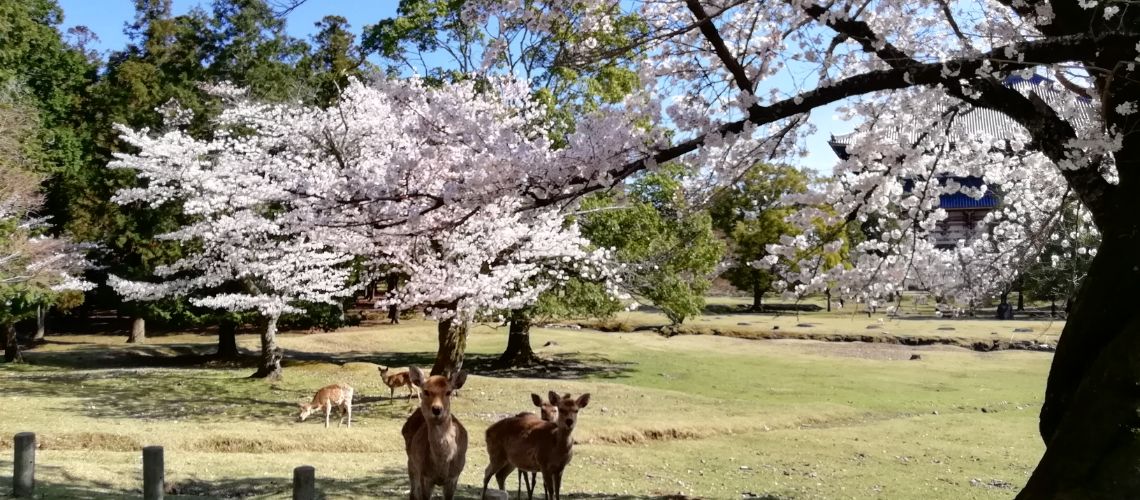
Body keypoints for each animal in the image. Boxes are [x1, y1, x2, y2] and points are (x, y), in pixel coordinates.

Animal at [405, 364, 467, 500]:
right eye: (426, 391)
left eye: (448, 392)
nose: (437, 409)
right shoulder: (425, 475)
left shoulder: (454, 476)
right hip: (411, 462)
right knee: (413, 492)